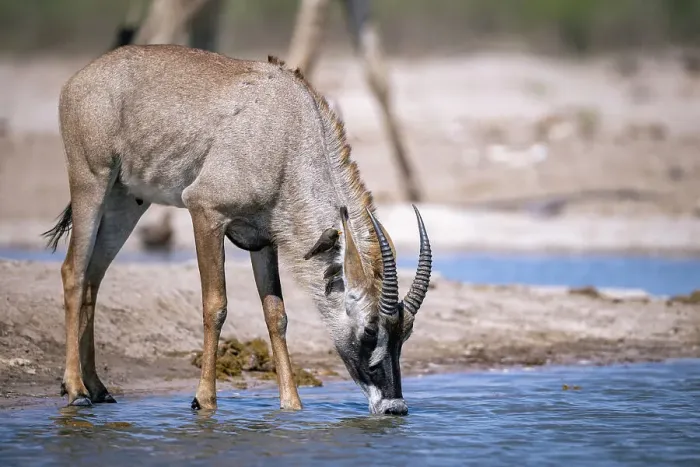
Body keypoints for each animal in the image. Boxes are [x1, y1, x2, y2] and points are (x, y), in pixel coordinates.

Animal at [42, 44, 432, 415]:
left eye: (406, 333)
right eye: (369, 329)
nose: (394, 406)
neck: (288, 136)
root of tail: (78, 80)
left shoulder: (262, 240)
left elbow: (277, 316)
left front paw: (292, 404)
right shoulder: (205, 212)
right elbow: (216, 305)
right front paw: (205, 401)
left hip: (126, 201)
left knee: (93, 277)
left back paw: (98, 388)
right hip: (91, 181)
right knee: (73, 271)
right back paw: (76, 390)